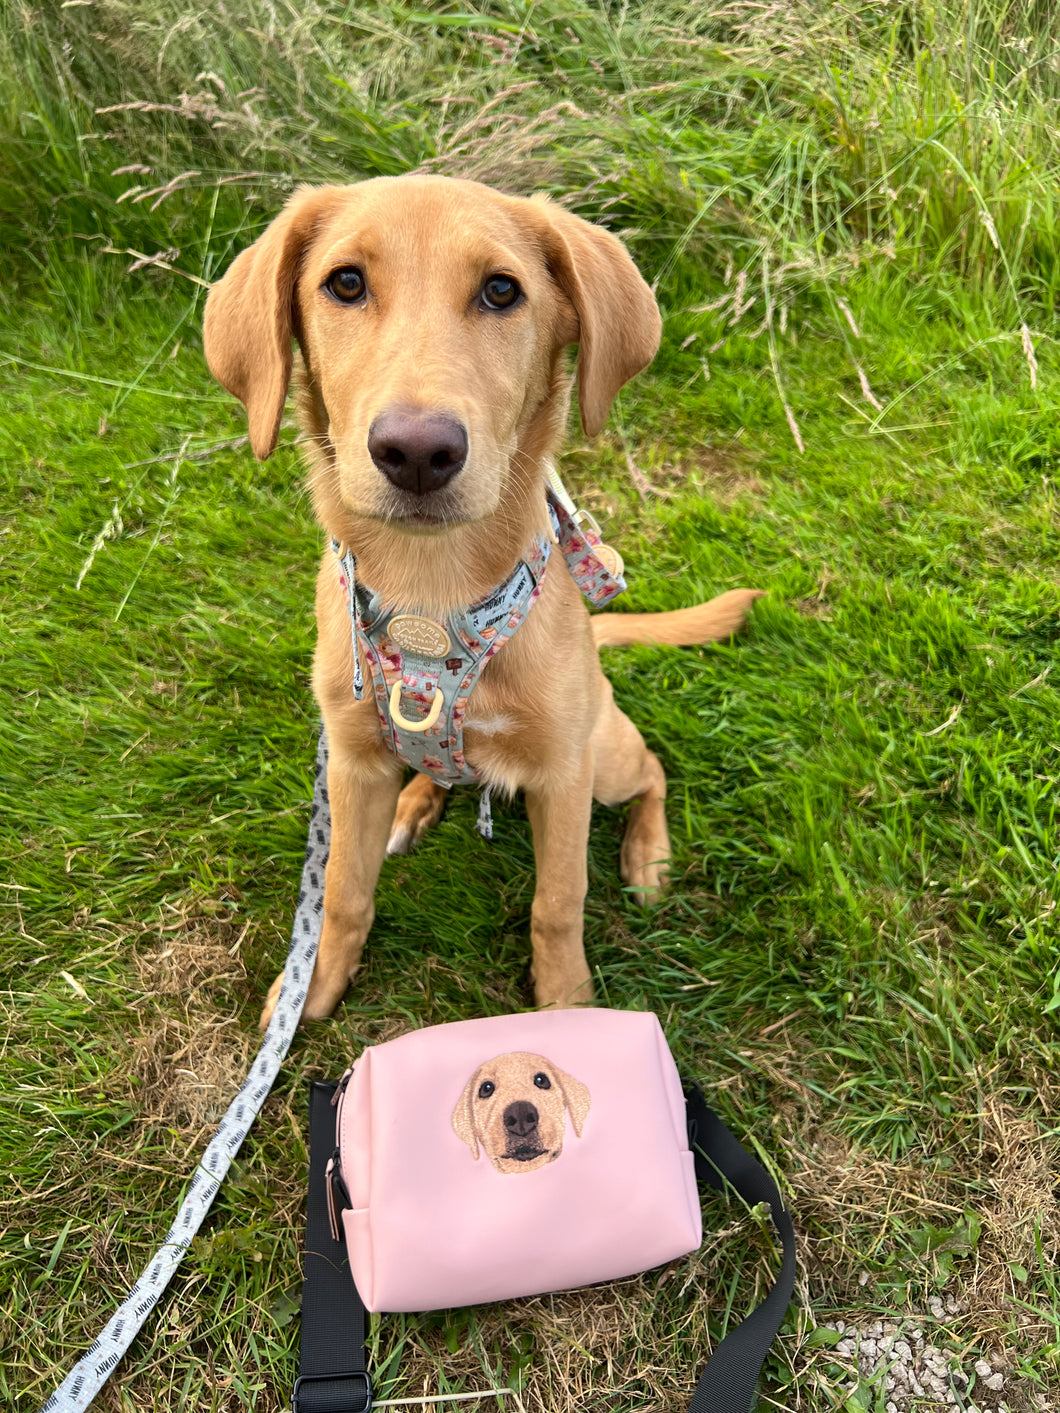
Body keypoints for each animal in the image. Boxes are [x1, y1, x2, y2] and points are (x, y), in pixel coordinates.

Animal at [200, 176, 763, 1023]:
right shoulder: (351, 761)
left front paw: (568, 1006)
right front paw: (314, 984)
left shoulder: (563, 775)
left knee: (654, 772)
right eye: (345, 283)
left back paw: (648, 855)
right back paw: (417, 802)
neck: (430, 598)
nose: (416, 452)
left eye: (502, 290)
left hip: (606, 754)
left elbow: (558, 901)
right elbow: (342, 893)